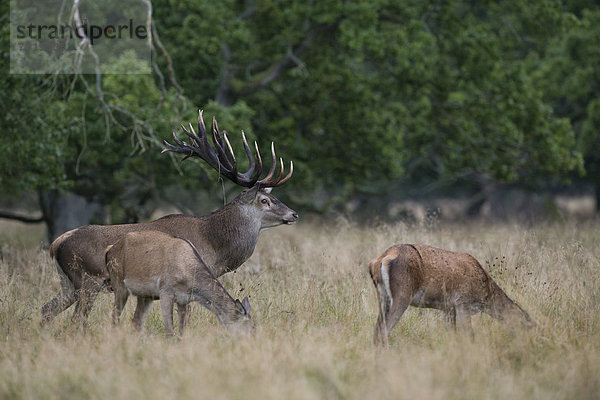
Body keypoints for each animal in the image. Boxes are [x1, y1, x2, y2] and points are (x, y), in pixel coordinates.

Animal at [105, 231, 253, 338]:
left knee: (136, 322)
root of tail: (109, 250)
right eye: (247, 326)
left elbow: (182, 330)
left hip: (146, 296)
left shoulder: (183, 300)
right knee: (114, 317)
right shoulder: (165, 290)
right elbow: (170, 329)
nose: (251, 341)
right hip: (119, 284)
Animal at [370, 242, 536, 346]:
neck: (486, 293)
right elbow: (469, 335)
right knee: (384, 330)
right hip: (402, 294)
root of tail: (379, 260)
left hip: (382, 296)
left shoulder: (448, 307)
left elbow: (452, 335)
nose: (529, 345)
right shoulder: (463, 302)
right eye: (526, 328)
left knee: (377, 329)